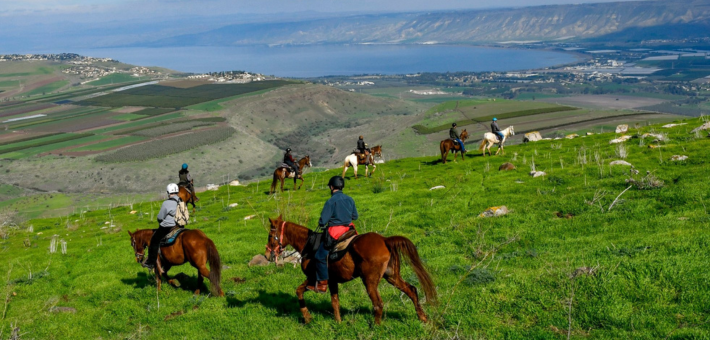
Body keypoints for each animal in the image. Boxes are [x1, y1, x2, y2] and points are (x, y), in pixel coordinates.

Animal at [264, 216, 436, 326]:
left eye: (270, 235)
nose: (267, 255)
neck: (309, 245)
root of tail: (385, 240)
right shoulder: (332, 281)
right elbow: (335, 302)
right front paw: (338, 322)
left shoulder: (313, 278)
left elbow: (299, 291)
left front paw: (307, 318)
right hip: (392, 276)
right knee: (411, 290)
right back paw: (423, 318)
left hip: (370, 281)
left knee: (378, 303)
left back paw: (376, 327)